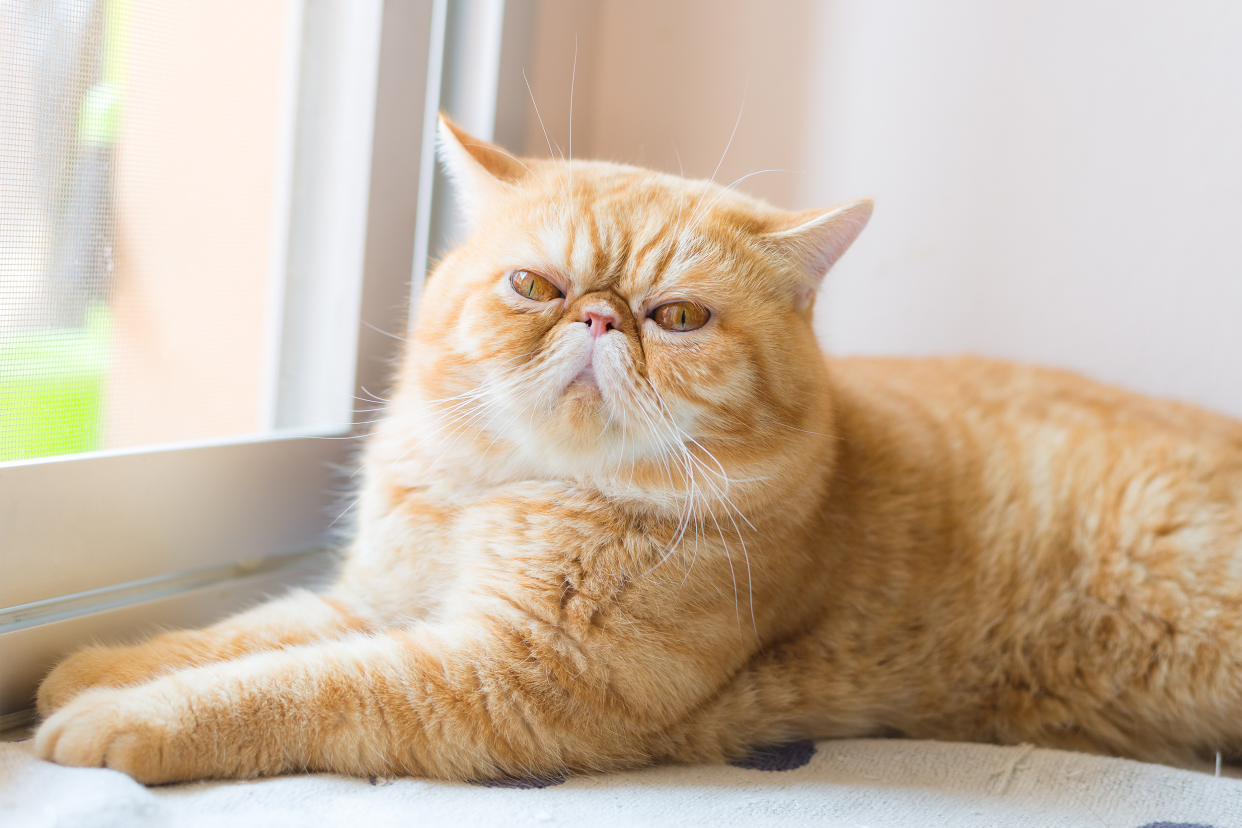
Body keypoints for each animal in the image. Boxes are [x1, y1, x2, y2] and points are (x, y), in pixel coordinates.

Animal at [26, 116, 1242, 784]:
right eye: (535, 286)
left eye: (681, 317)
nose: (601, 317)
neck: (505, 488)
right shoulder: (384, 599)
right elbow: (253, 632)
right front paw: (102, 665)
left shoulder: (507, 680)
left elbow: (290, 686)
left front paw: (121, 716)